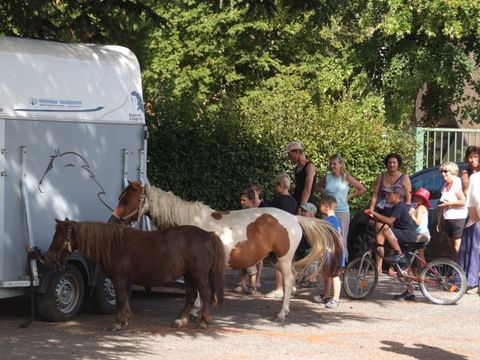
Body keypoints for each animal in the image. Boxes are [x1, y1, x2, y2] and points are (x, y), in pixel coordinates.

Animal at [45, 218, 225, 330]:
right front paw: (126, 320)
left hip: (198, 275)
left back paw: (203, 322)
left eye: (58, 237)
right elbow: (124, 299)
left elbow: (120, 299)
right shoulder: (123, 279)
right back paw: (181, 320)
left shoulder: (118, 278)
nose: (47, 260)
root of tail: (207, 235)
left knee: (205, 295)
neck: (113, 245)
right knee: (191, 296)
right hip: (189, 275)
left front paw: (118, 323)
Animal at [108, 180, 342, 320]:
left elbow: (198, 289)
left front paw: (195, 312)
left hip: (283, 260)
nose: (113, 221)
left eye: (127, 199)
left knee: (288, 280)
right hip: (275, 259)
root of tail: (293, 218)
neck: (190, 223)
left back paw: (281, 314)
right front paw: (194, 311)